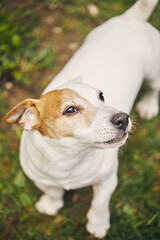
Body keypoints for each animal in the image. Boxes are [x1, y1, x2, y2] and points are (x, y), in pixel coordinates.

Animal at [4, 0, 160, 238]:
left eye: (101, 96)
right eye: (70, 110)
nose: (123, 118)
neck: (70, 158)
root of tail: (132, 18)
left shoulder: (107, 180)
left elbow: (99, 203)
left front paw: (98, 224)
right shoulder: (41, 179)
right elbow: (52, 191)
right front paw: (51, 204)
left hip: (154, 73)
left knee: (153, 88)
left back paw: (149, 104)